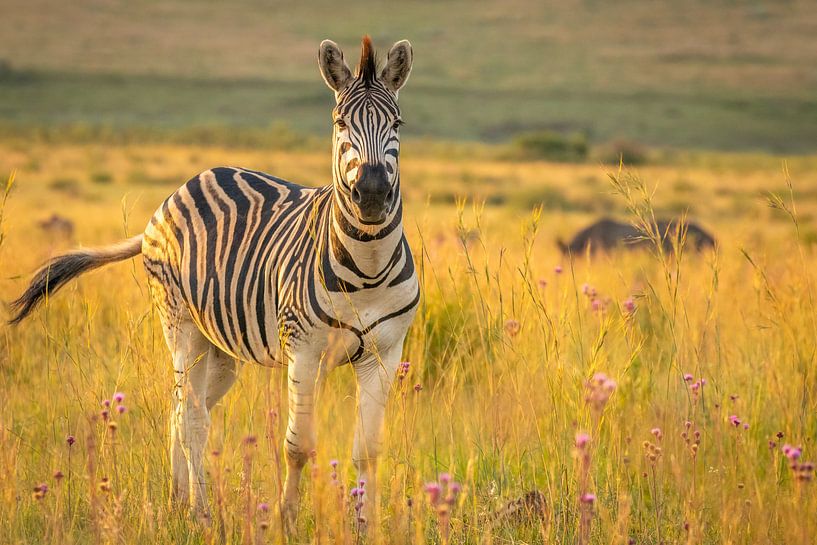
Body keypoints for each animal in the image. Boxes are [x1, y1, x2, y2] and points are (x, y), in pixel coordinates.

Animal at [10, 36, 418, 529]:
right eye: (340, 122)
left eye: (397, 123)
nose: (372, 195)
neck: (367, 269)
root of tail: (182, 187)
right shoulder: (304, 350)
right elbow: (298, 446)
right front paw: (286, 521)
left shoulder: (384, 353)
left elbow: (368, 451)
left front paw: (365, 526)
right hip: (179, 323)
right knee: (191, 419)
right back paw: (200, 513)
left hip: (220, 347)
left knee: (181, 409)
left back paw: (176, 500)